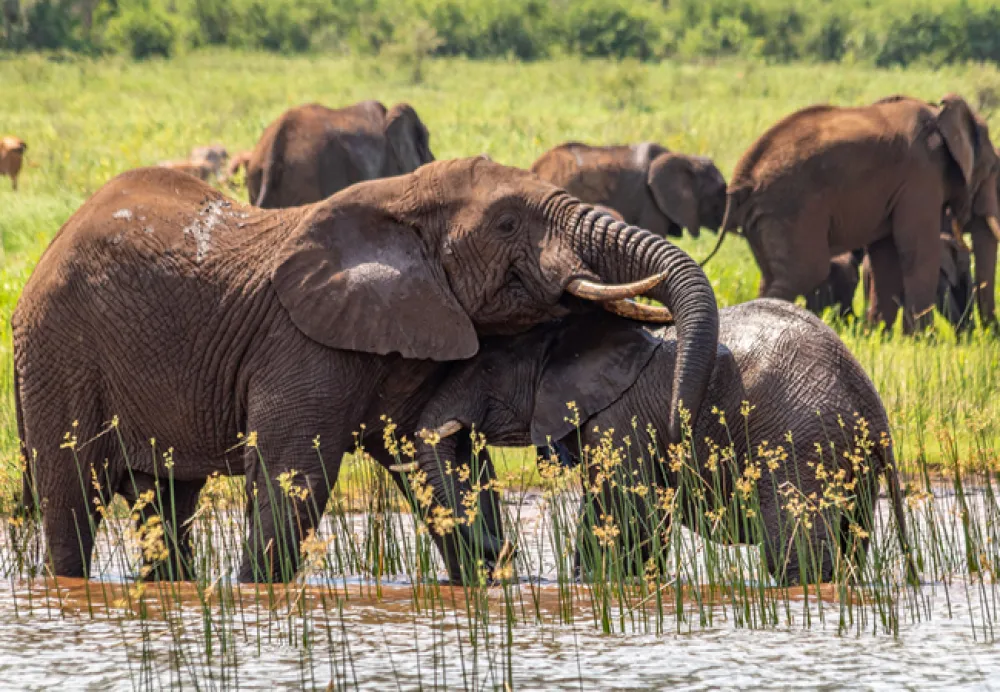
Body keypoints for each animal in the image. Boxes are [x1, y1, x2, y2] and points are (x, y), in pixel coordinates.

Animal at [12, 156, 720, 583]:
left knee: (165, 498)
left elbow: (438, 458)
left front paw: (482, 574)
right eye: (507, 222)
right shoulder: (301, 341)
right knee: (72, 496)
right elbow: (295, 475)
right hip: (59, 351)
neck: (400, 199)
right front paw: (255, 593)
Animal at [410, 300, 914, 585]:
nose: (503, 550)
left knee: (794, 551)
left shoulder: (619, 418)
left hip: (799, 442)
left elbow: (628, 514)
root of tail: (870, 405)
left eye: (488, 367)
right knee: (850, 541)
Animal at [712, 94, 1000, 332]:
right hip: (789, 208)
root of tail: (742, 179)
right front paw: (925, 341)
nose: (986, 336)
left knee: (772, 275)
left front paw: (881, 337)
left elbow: (886, 256)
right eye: (994, 169)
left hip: (765, 216)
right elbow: (918, 250)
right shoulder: (922, 177)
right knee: (804, 272)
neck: (940, 114)